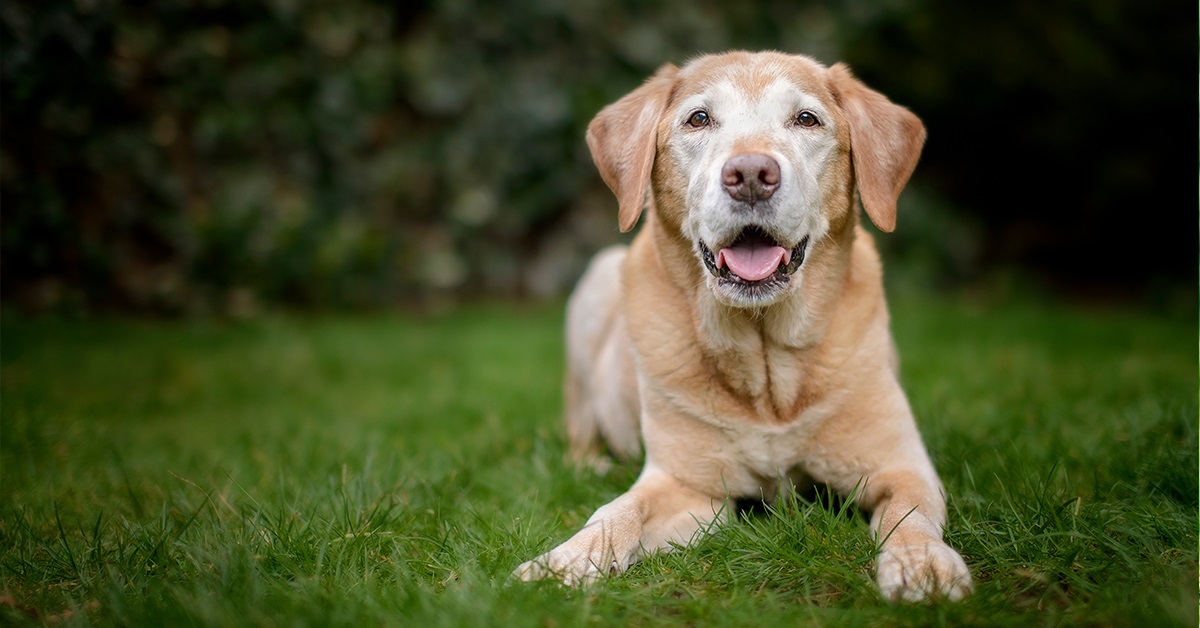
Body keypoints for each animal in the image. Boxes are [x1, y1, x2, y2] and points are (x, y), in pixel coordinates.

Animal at [516, 51, 974, 602]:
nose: (751, 173)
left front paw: (923, 562)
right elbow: (618, 511)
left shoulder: (902, 467)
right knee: (580, 435)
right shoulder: (686, 485)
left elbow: (910, 516)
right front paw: (563, 561)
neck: (766, 361)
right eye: (698, 119)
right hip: (597, 282)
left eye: (806, 119)